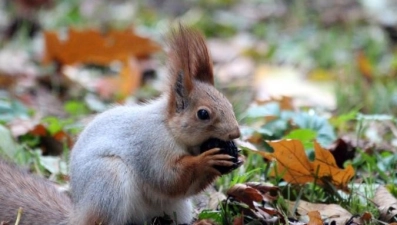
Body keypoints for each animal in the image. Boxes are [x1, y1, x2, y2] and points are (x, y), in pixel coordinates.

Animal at [0, 25, 240, 225]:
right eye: (203, 114)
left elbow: (182, 187)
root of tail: (78, 216)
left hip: (175, 209)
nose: (235, 133)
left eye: (229, 103)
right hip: (108, 182)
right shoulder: (151, 146)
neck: (170, 130)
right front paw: (207, 160)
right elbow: (167, 178)